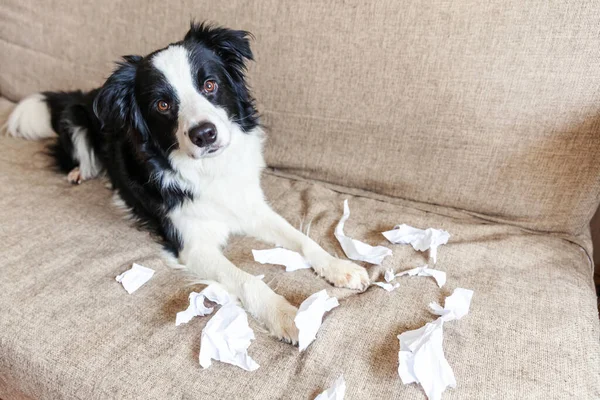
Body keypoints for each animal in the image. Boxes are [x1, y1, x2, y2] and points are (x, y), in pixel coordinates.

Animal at [5, 21, 370, 344]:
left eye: (209, 85)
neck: (209, 169)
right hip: (79, 120)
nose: (204, 134)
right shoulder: (192, 245)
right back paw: (81, 172)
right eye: (162, 104)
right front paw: (287, 317)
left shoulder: (250, 206)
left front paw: (341, 267)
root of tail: (90, 93)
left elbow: (302, 240)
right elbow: (247, 279)